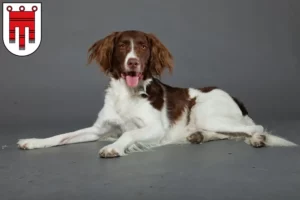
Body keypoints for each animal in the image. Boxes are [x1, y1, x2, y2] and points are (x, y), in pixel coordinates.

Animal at [17, 29, 298, 158]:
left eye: (143, 46)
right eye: (122, 47)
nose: (133, 63)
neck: (128, 93)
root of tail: (236, 98)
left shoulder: (155, 128)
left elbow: (129, 133)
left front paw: (113, 147)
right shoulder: (99, 129)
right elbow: (62, 136)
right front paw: (33, 141)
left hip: (208, 112)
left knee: (253, 127)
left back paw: (258, 139)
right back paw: (198, 136)